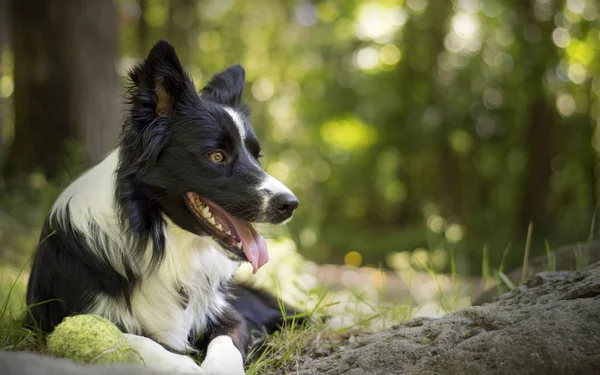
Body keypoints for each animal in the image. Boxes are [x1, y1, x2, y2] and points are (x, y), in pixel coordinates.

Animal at [26, 39, 302, 374]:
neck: (163, 242)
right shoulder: (57, 319)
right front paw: (186, 366)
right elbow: (134, 340)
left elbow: (227, 341)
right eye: (217, 156)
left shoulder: (226, 314)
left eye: (256, 156)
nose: (291, 205)